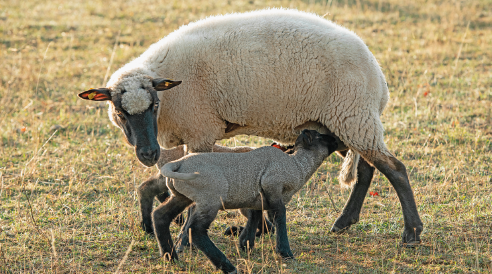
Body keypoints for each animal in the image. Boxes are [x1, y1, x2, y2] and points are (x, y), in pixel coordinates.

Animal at [77, 8, 422, 246]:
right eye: (120, 112)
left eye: (154, 105)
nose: (148, 154)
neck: (168, 90)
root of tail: (377, 74)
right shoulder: (183, 134)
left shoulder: (200, 130)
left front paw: (187, 235)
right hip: (345, 123)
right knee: (367, 169)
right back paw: (345, 221)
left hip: (353, 115)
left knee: (395, 169)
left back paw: (412, 231)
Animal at [156, 130, 340, 272]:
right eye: (320, 136)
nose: (337, 139)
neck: (298, 165)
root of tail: (177, 164)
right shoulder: (272, 185)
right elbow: (280, 216)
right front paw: (285, 252)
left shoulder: (258, 198)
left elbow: (255, 218)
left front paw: (246, 245)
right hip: (210, 199)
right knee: (195, 230)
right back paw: (227, 267)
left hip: (182, 196)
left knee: (161, 216)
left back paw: (171, 257)